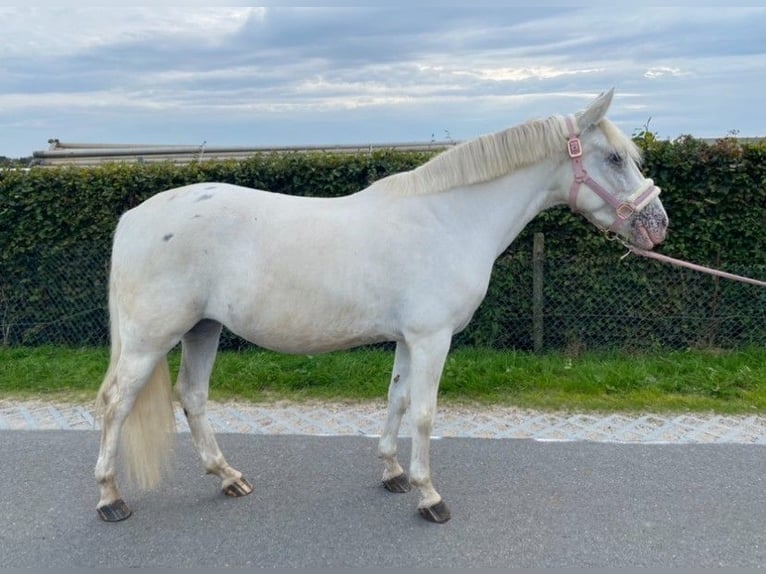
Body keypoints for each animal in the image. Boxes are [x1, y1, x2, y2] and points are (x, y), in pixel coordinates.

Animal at [94, 91, 664, 528]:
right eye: (615, 158)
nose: (658, 224)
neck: (447, 218)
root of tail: (135, 217)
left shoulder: (410, 338)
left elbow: (398, 399)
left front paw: (393, 474)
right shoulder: (433, 338)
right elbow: (426, 413)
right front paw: (430, 496)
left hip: (203, 328)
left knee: (192, 396)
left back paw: (228, 477)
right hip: (152, 338)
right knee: (117, 403)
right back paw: (110, 498)